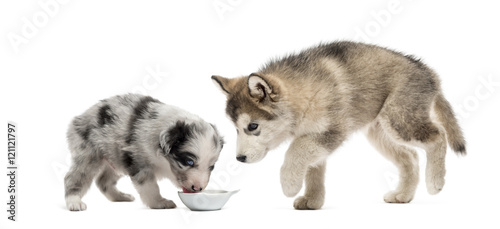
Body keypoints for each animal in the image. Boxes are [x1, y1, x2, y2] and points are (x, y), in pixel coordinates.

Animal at [211, 40, 464, 209]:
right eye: (235, 128)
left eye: (252, 127)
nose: (240, 159)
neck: (306, 92)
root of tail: (431, 74)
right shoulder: (313, 135)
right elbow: (312, 167)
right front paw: (312, 200)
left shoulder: (332, 130)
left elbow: (296, 151)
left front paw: (289, 184)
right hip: (379, 131)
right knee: (410, 156)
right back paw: (403, 195)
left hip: (400, 118)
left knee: (438, 135)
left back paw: (435, 181)